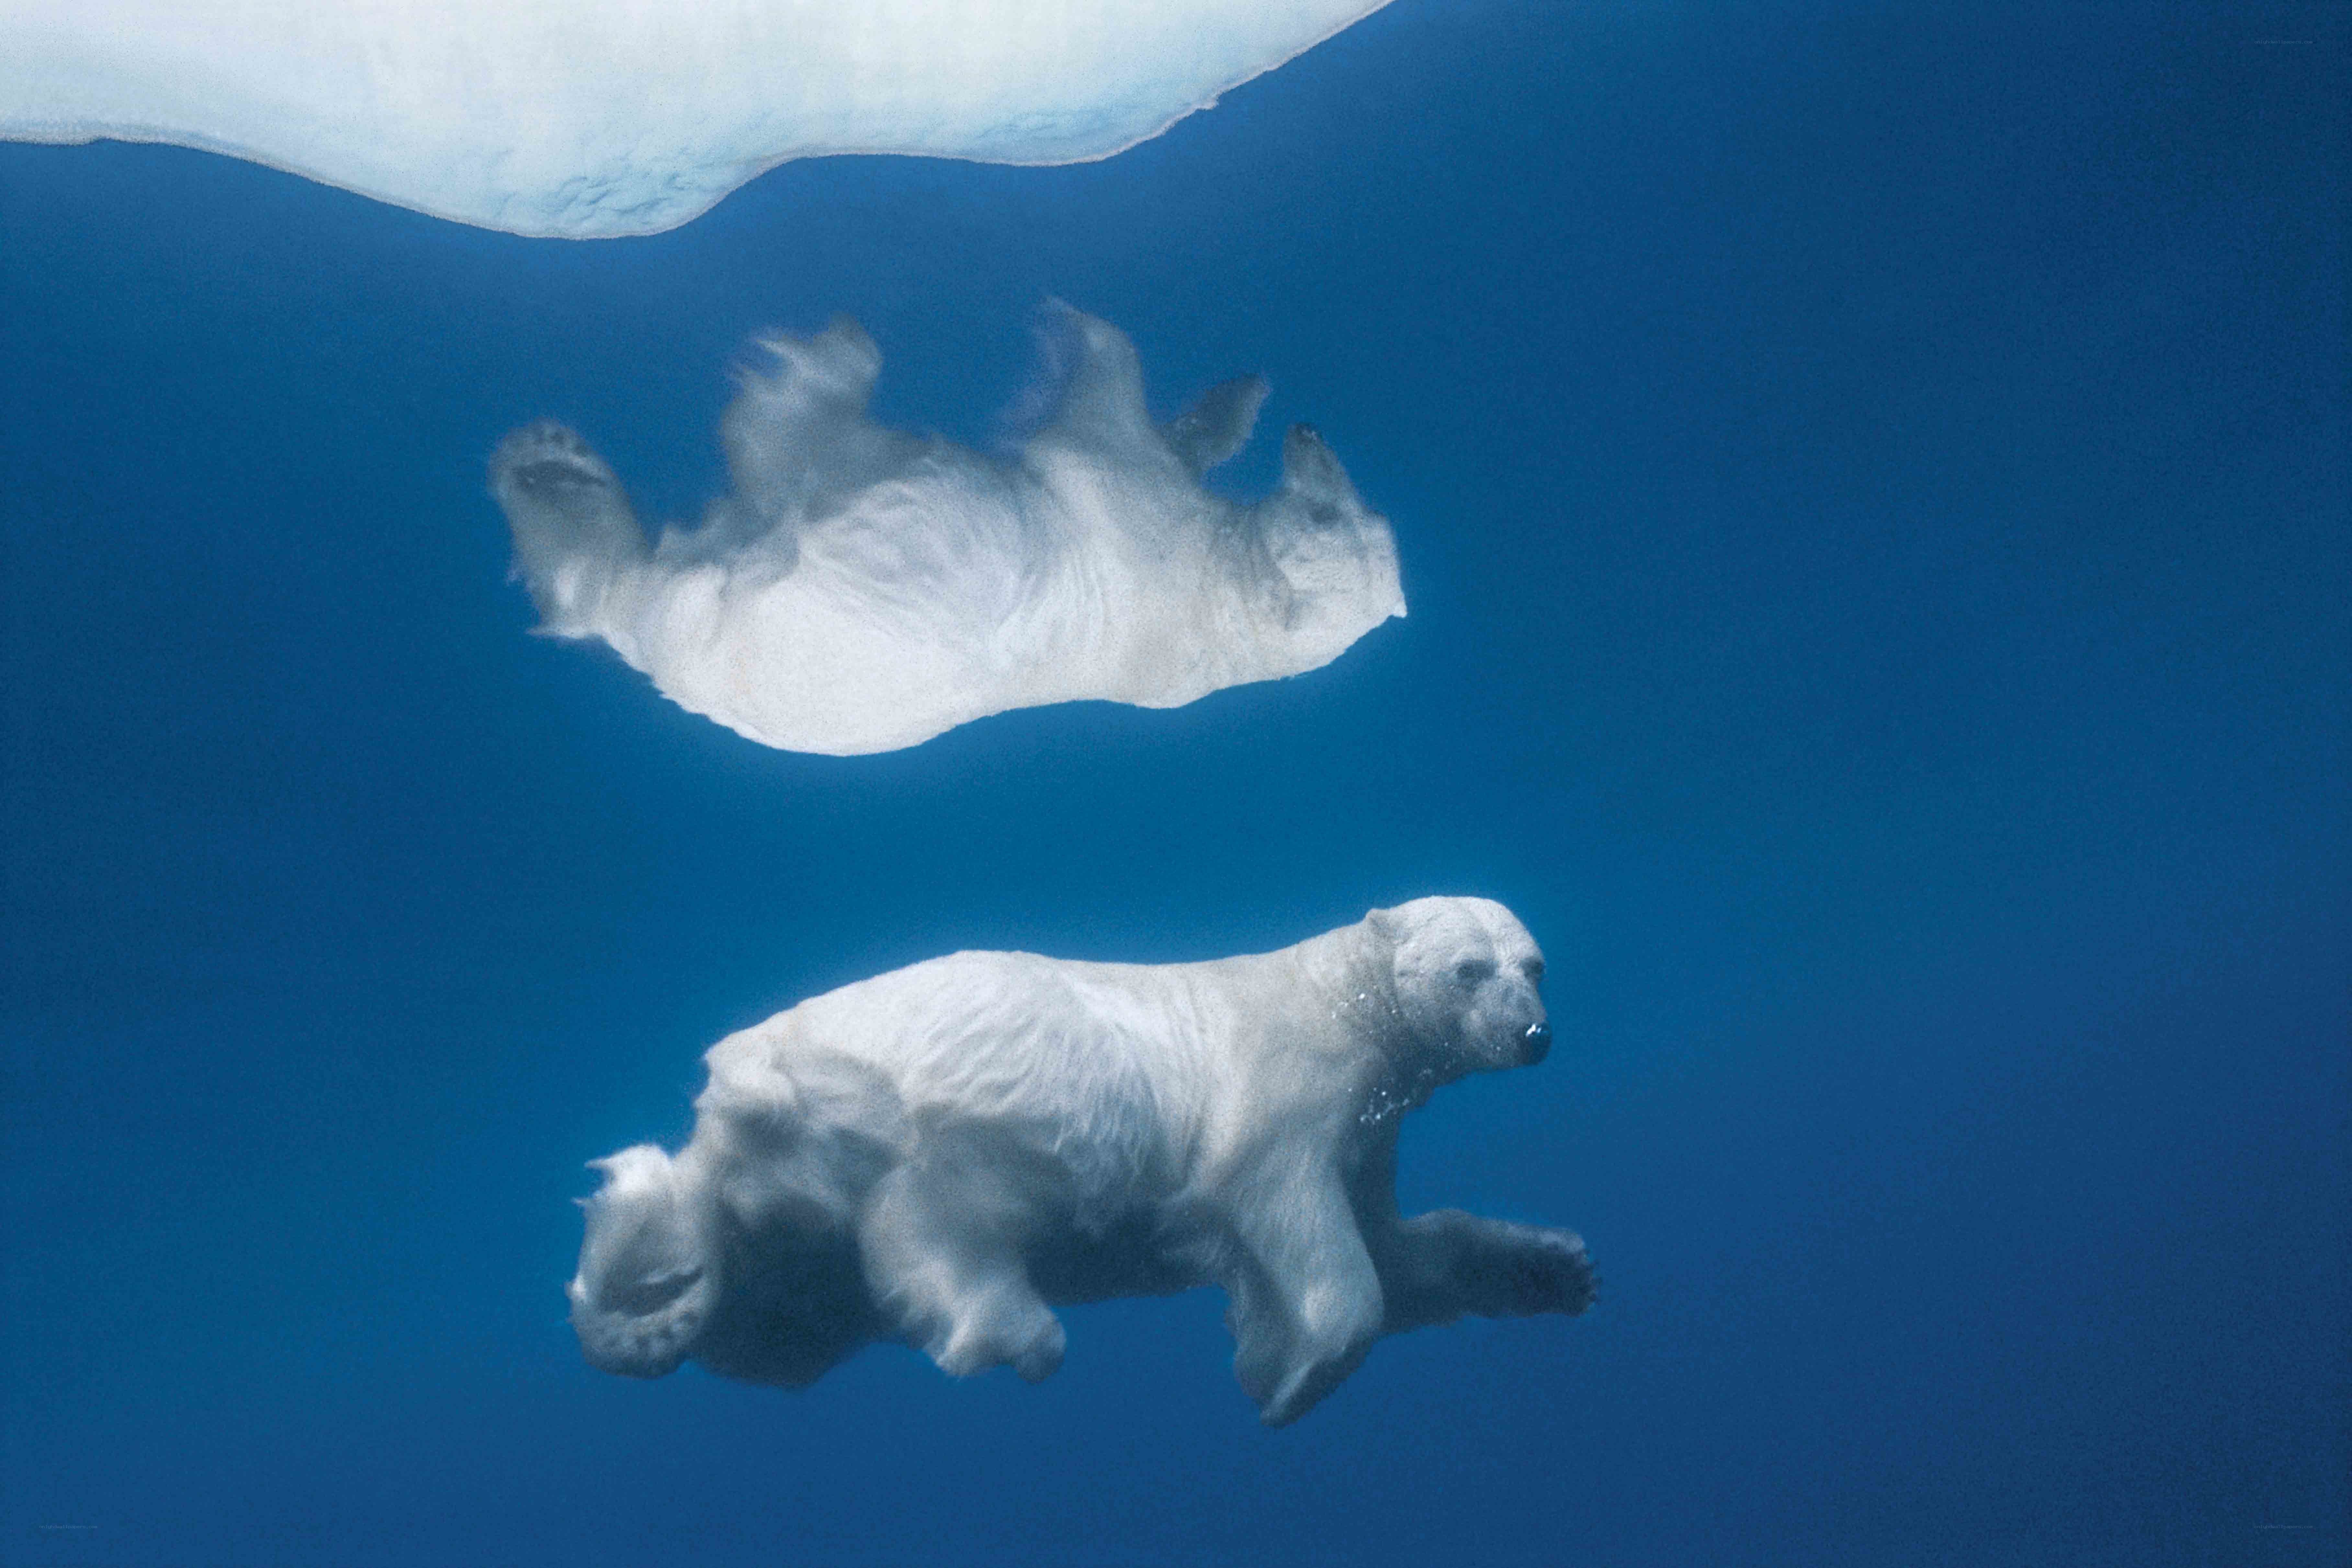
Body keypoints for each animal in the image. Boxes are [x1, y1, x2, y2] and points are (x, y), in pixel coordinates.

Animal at [488, 304, 1405, 757]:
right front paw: (1241, 396)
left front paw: (1069, 328)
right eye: (1354, 510)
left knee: (773, 459)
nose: (1309, 436)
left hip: (757, 607)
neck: (1220, 615)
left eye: (1327, 512)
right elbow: (1172, 436)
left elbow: (1101, 401)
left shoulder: (1124, 508)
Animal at [568, 897, 1596, 1425]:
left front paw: (1554, 1267)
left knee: (775, 1316)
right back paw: (1012, 1329)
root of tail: (729, 1106)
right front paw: (1292, 1375)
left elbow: (1403, 1246)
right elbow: (1299, 1220)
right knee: (940, 1220)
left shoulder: (1371, 1127)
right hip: (925, 1109)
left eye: (1535, 964)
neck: (1337, 996)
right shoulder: (1287, 1085)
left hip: (793, 1226)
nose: (1534, 1035)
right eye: (1470, 969)